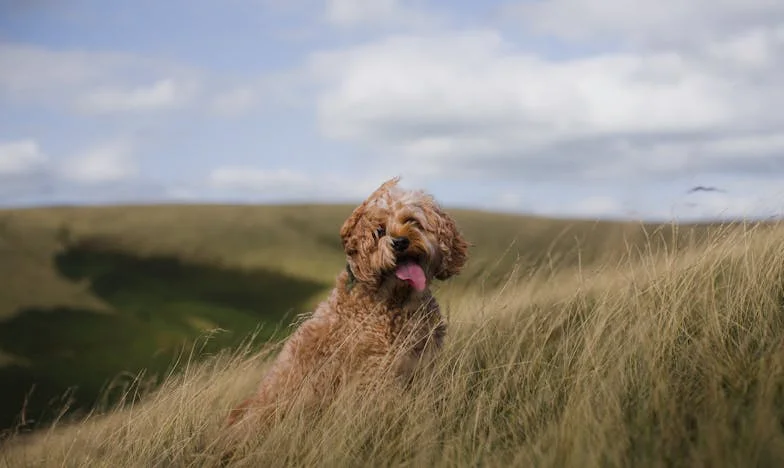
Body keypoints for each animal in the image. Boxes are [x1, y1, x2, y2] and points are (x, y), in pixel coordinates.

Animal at [224, 176, 468, 436]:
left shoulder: (422, 364)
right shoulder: (376, 372)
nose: (400, 242)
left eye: (412, 221)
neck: (396, 301)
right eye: (379, 231)